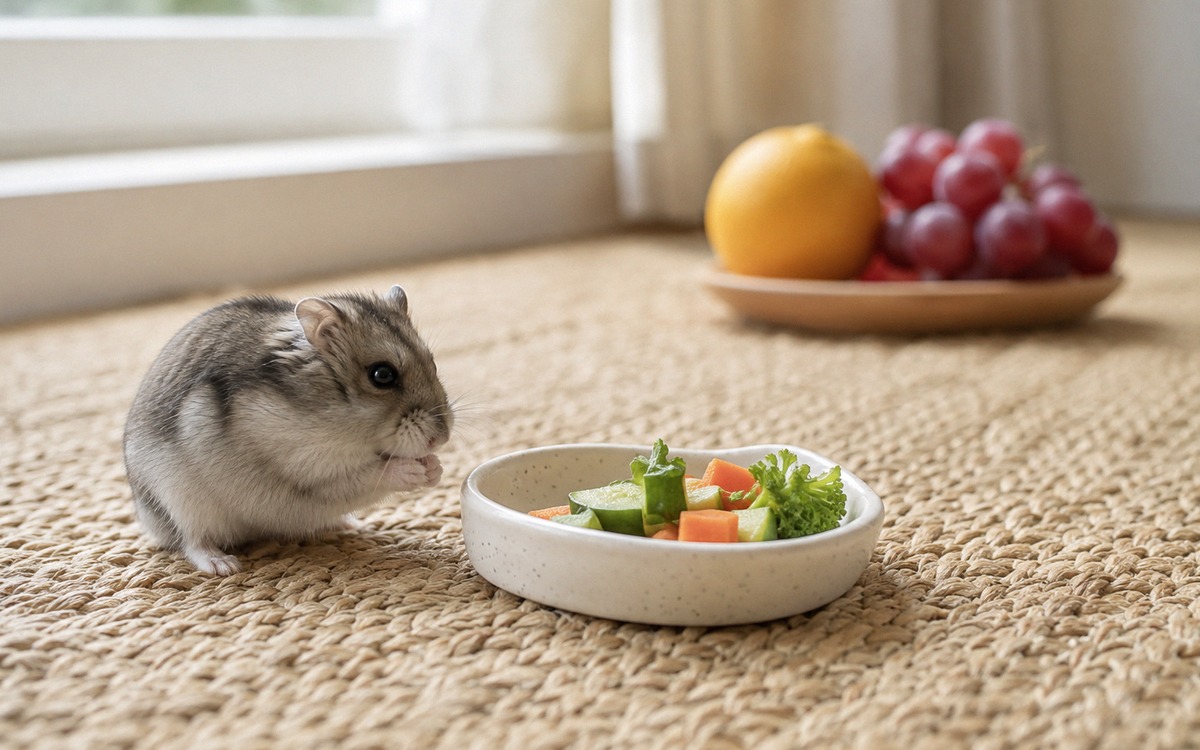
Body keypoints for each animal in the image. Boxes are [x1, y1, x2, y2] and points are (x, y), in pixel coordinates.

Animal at [123, 285, 452, 576]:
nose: (442, 439)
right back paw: (223, 566)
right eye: (382, 375)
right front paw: (420, 470)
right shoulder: (307, 468)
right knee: (191, 541)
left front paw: (435, 468)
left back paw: (348, 525)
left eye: (434, 364)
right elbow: (366, 475)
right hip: (183, 503)